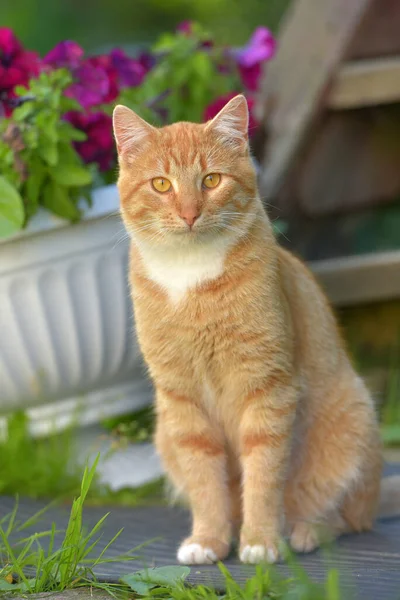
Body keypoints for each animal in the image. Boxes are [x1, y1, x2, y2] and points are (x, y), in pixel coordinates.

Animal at [113, 96, 400, 564]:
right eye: (161, 185)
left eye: (211, 180)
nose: (189, 213)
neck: (191, 278)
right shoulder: (182, 400)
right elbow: (205, 479)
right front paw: (209, 539)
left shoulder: (267, 388)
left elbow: (264, 474)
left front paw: (261, 540)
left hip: (353, 419)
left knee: (349, 518)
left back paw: (304, 532)